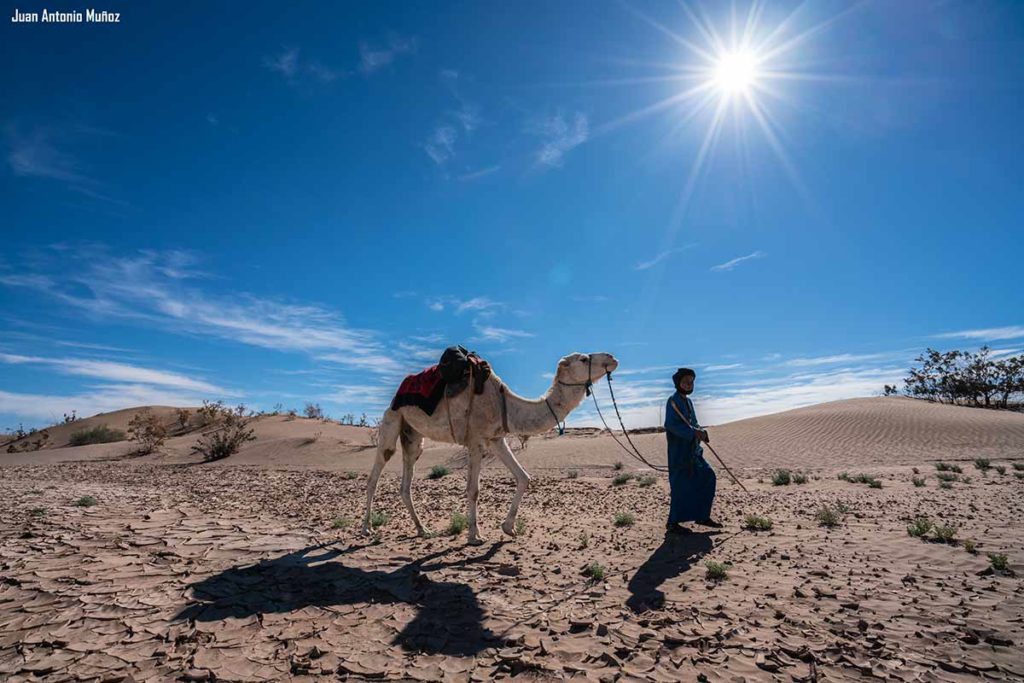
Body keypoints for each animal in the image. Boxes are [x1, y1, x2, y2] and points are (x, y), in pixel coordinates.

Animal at [362, 352, 614, 544]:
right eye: (583, 359)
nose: (612, 358)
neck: (506, 405)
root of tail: (396, 394)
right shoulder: (475, 440)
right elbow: (473, 489)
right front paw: (474, 536)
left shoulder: (496, 439)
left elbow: (524, 477)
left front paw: (508, 527)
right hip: (392, 419)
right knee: (376, 473)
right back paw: (367, 528)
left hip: (413, 436)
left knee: (406, 482)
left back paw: (422, 529)